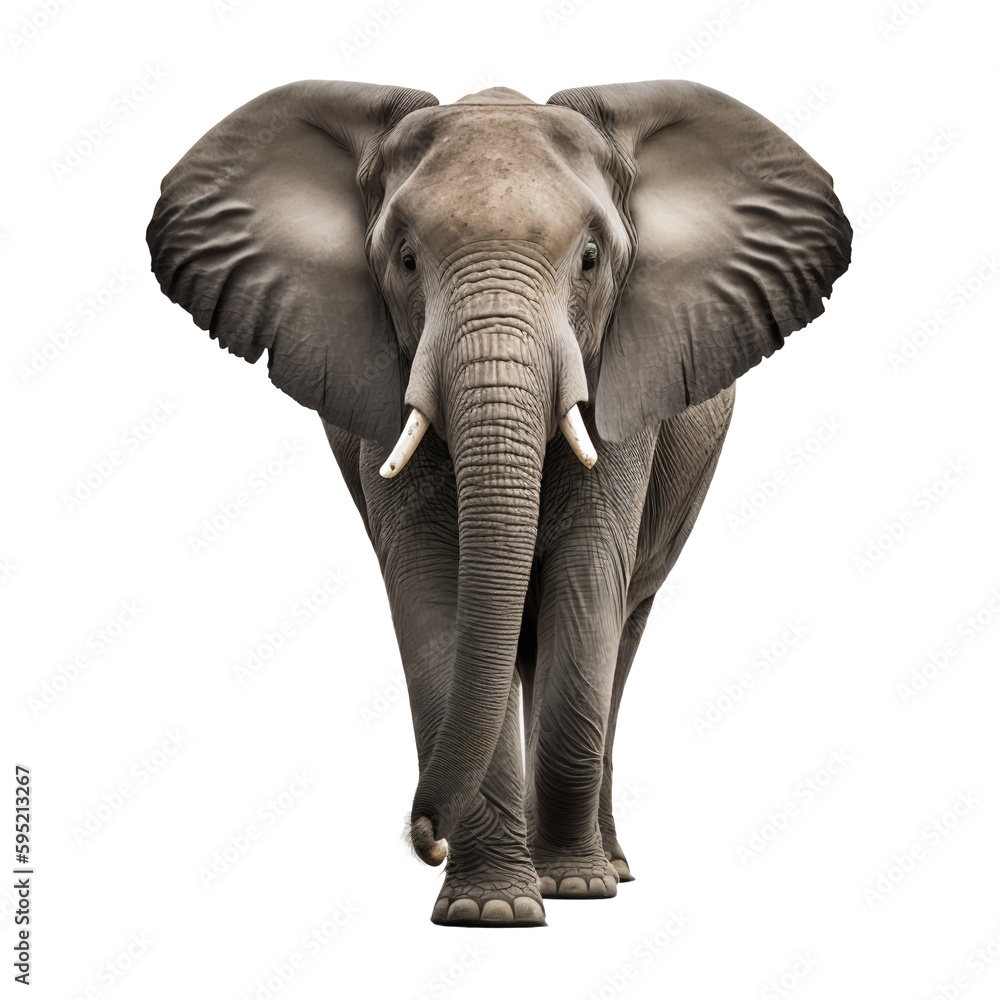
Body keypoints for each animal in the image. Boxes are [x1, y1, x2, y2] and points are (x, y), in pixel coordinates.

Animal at [147, 79, 851, 927]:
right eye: (405, 259)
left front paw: (574, 890)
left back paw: (610, 868)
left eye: (592, 260)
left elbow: (585, 584)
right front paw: (492, 911)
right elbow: (434, 592)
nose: (424, 836)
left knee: (619, 631)